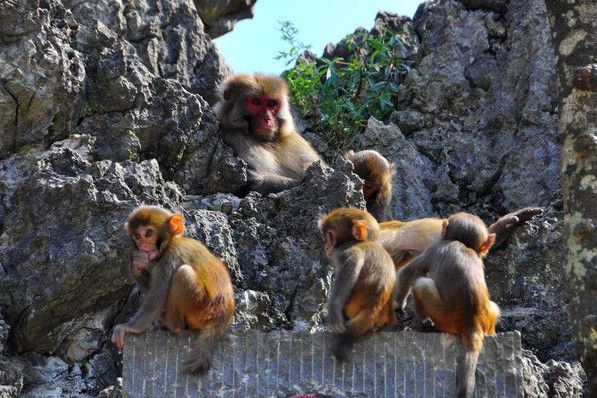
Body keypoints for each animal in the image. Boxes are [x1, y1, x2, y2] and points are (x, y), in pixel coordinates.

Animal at [112, 205, 235, 374]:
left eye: (148, 233)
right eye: (137, 236)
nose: (143, 245)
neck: (170, 243)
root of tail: (224, 314)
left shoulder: (171, 257)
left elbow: (158, 295)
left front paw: (130, 328)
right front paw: (137, 263)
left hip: (203, 308)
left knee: (183, 273)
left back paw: (173, 326)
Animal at [217, 73, 394, 219]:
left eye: (272, 103)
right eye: (255, 102)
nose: (267, 119)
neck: (267, 140)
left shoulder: (294, 139)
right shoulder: (234, 137)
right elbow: (258, 180)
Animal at [318, 208, 398, 360]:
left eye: (330, 236)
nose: (326, 246)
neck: (360, 241)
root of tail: (372, 310)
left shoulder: (346, 251)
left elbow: (352, 265)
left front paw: (334, 313)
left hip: (351, 305)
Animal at [394, 211, 500, 394]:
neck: (462, 243)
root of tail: (472, 322)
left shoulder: (434, 248)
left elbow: (409, 272)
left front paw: (399, 307)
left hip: (445, 318)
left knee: (422, 284)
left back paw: (425, 323)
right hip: (487, 315)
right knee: (494, 307)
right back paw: (491, 333)